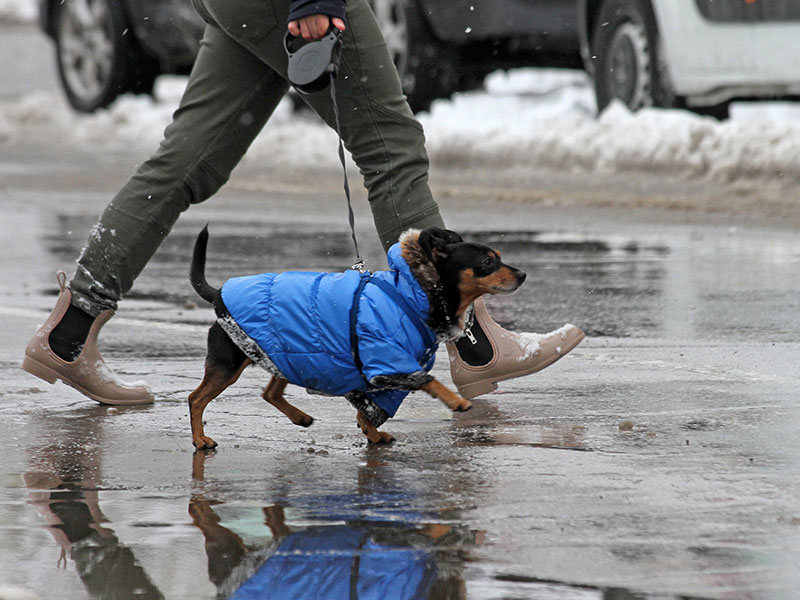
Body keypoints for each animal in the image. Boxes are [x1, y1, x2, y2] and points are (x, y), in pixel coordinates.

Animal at [187, 227, 524, 448]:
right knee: (196, 399)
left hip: (288, 354)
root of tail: (217, 293)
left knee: (270, 392)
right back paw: (200, 440)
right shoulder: (389, 363)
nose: (522, 274)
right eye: (487, 262)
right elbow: (428, 381)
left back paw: (300, 418)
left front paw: (371, 433)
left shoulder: (380, 374)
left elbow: (369, 410)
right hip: (230, 364)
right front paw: (455, 401)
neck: (414, 293)